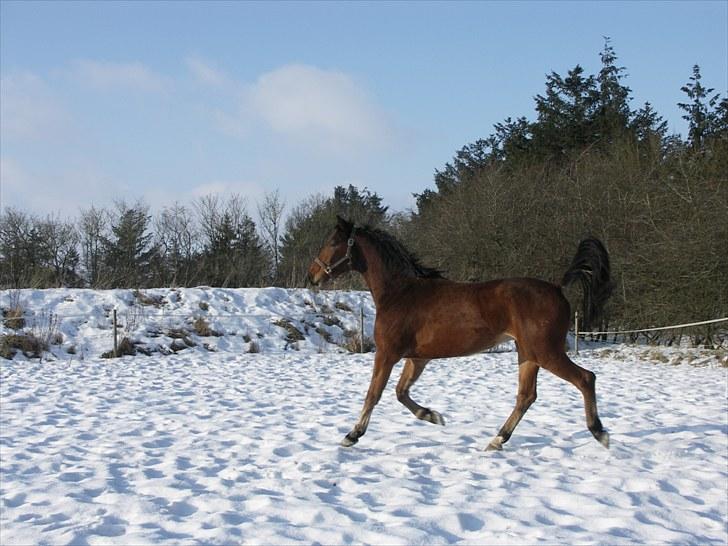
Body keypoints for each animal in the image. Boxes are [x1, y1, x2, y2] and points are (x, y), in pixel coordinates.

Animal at [304, 215, 612, 448]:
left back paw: (600, 432)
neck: (400, 293)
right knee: (526, 396)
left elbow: (374, 393)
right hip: (527, 354)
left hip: (545, 352)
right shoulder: (417, 358)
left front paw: (352, 435)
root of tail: (558, 288)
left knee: (585, 378)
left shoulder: (387, 353)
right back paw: (497, 440)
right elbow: (401, 392)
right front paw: (432, 416)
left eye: (333, 242)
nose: (312, 276)